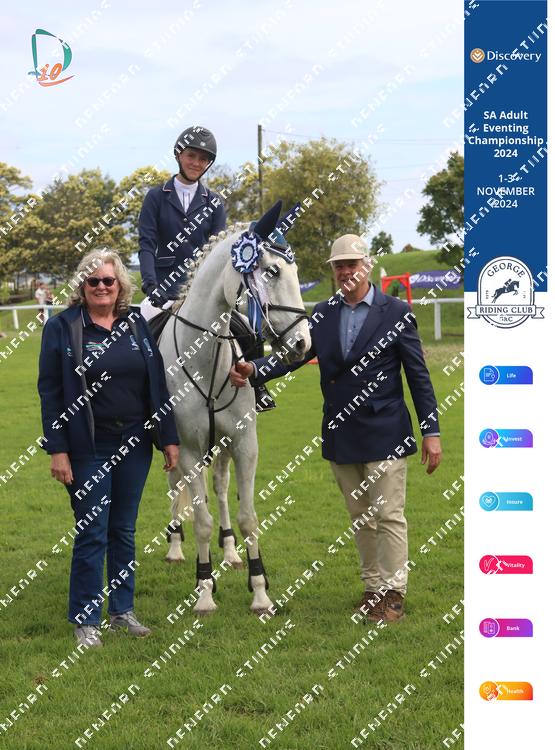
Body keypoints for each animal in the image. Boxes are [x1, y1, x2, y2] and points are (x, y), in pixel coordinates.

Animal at [157, 201, 311, 614]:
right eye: (271, 271)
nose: (303, 344)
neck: (204, 357)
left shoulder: (244, 443)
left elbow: (247, 517)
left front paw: (259, 591)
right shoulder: (188, 450)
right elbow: (201, 521)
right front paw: (204, 593)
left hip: (223, 446)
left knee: (222, 488)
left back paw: (229, 552)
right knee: (176, 489)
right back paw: (176, 547)